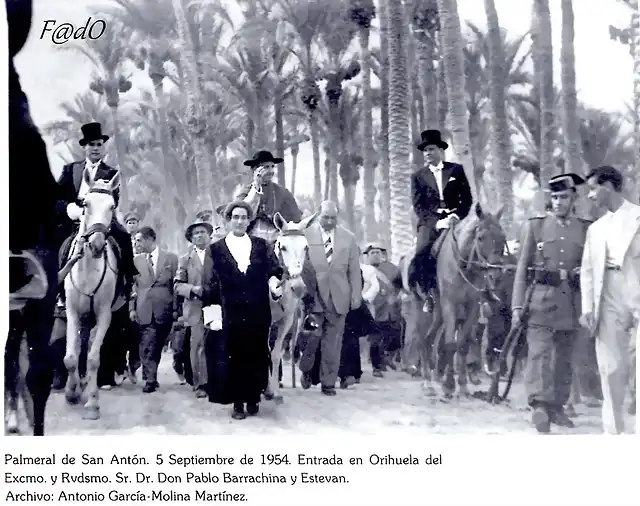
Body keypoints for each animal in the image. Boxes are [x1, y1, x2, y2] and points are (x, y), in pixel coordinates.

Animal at [262, 211, 318, 404]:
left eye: (306, 247)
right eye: (283, 247)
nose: (298, 286)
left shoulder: (286, 321)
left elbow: (275, 353)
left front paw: (273, 392)